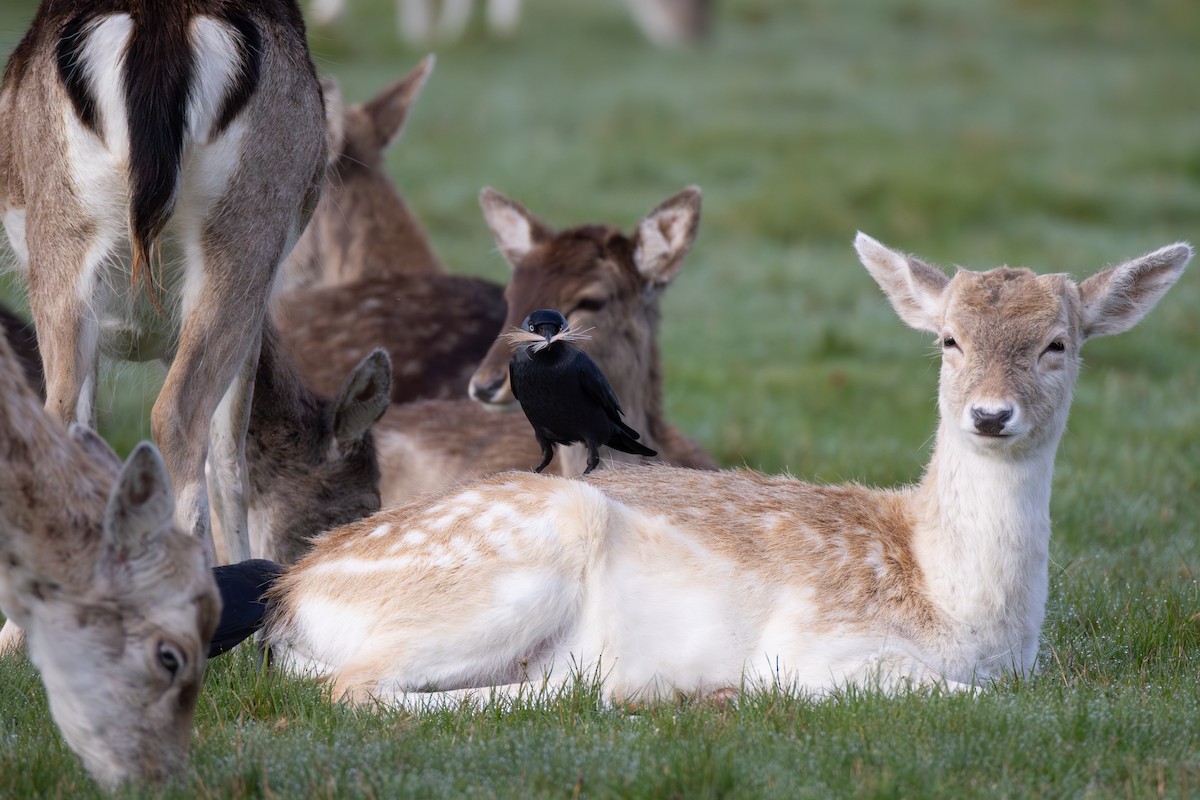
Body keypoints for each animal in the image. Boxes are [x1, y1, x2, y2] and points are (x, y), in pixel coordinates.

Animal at [260, 235, 1190, 705]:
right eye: (948, 340)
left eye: (1059, 344)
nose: (991, 415)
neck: (962, 610)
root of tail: (294, 594)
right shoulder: (820, 642)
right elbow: (959, 696)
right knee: (356, 687)